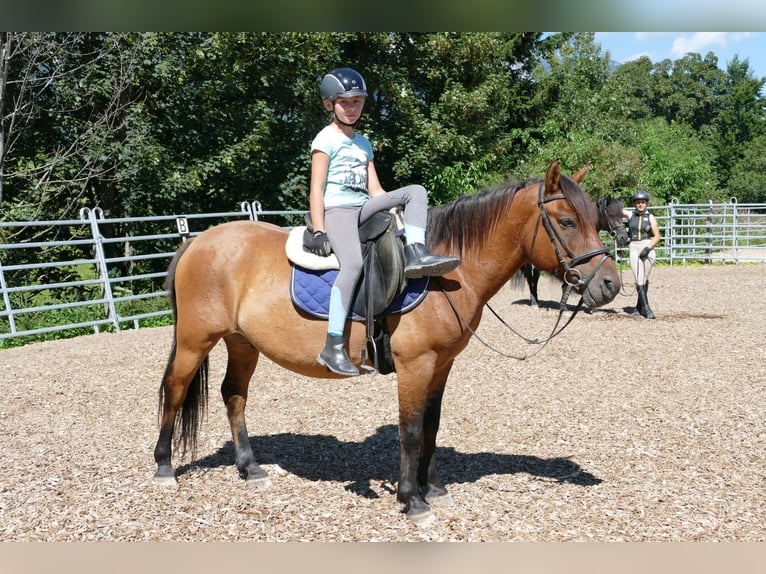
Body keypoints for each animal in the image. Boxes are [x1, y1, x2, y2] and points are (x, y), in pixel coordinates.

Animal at [152, 161, 624, 528]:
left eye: (593, 220)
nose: (610, 284)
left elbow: (432, 426)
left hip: (242, 342)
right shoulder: (415, 364)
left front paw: (435, 488)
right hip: (195, 339)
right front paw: (412, 499)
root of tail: (198, 240)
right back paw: (164, 467)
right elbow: (410, 431)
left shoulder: (442, 365)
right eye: (567, 221)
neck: (447, 271)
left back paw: (250, 468)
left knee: (233, 395)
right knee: (175, 391)